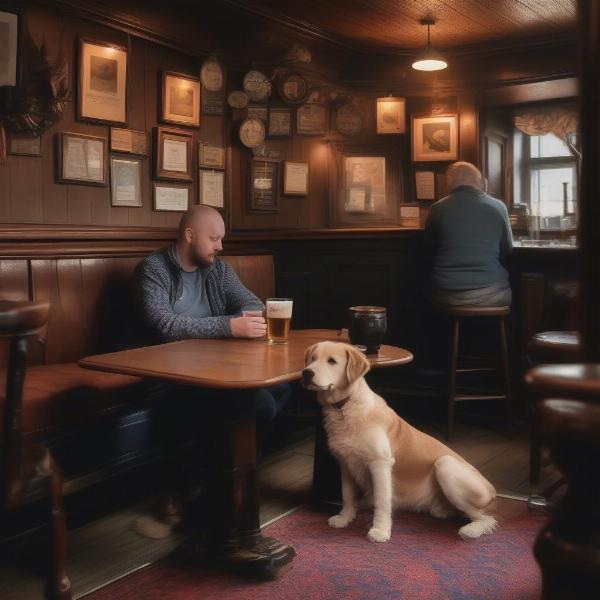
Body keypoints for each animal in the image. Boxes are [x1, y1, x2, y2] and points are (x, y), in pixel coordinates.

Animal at [302, 342, 494, 544]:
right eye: (312, 359)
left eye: (331, 361)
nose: (306, 373)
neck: (345, 407)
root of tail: (492, 491)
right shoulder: (345, 463)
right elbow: (347, 495)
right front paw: (345, 518)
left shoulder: (380, 464)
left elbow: (382, 500)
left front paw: (380, 530)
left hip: (445, 464)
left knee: (485, 517)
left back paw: (471, 530)